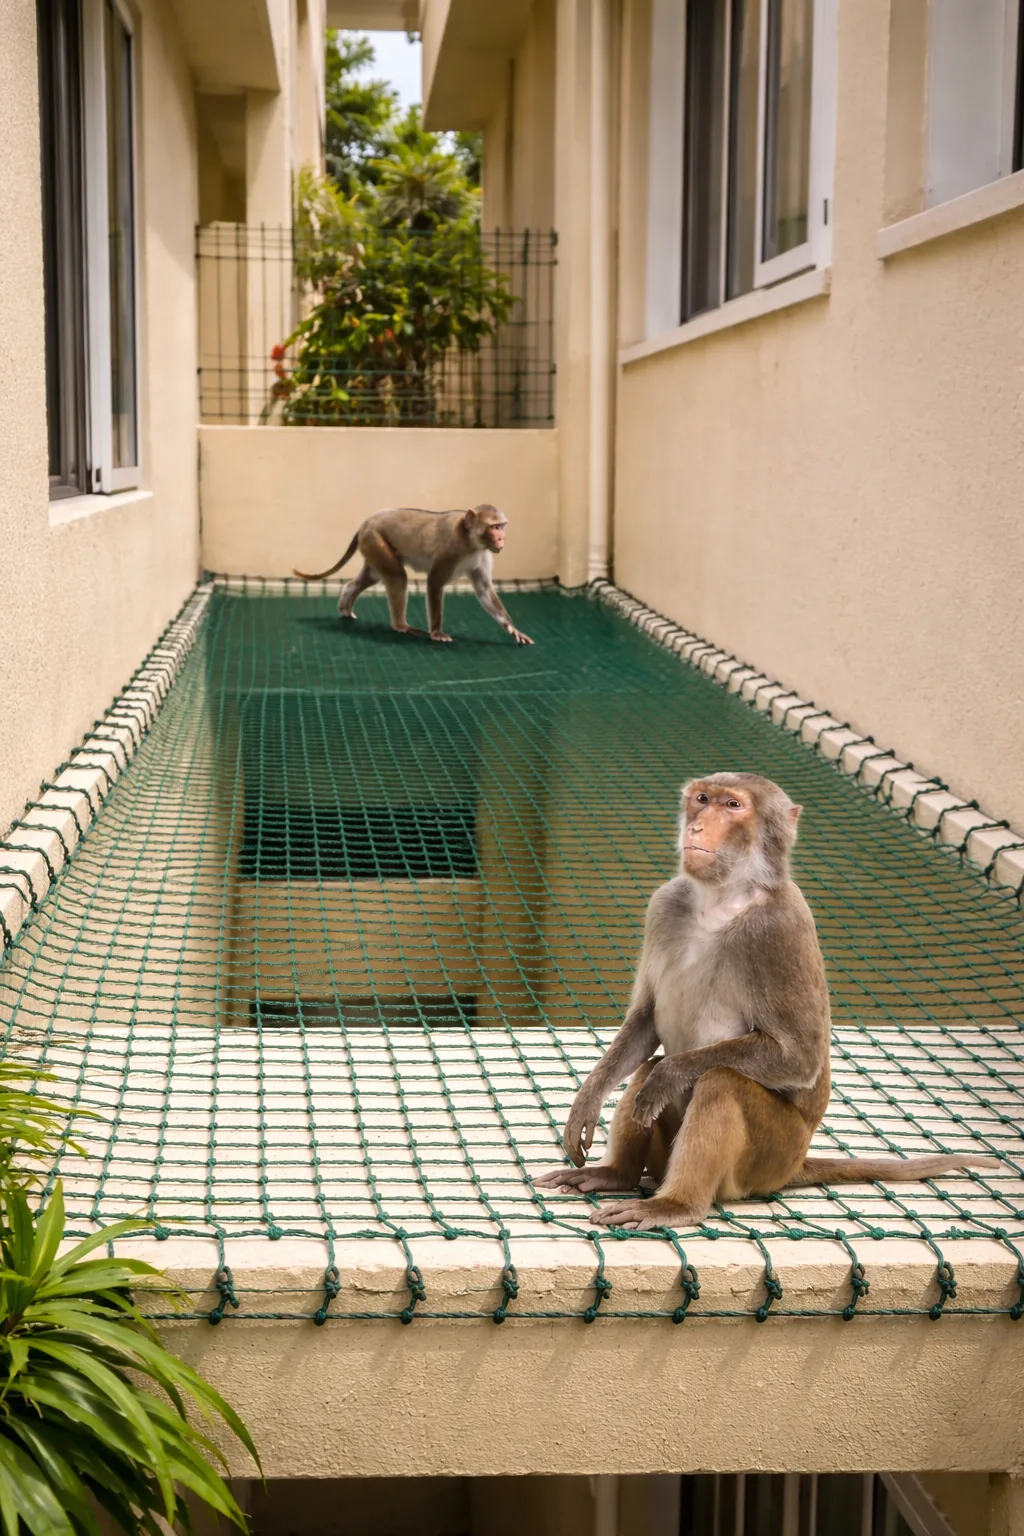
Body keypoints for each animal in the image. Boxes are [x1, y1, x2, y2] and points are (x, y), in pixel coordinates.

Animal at [293, 503, 532, 645]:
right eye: (494, 527)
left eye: (502, 526)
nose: (501, 539)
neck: (471, 539)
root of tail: (367, 522)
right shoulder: (451, 550)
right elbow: (434, 582)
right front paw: (436, 632)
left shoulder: (483, 555)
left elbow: (484, 590)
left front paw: (512, 628)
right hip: (375, 539)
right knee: (397, 578)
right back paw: (401, 626)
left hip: (371, 543)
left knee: (371, 576)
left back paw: (345, 607)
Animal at [535, 772, 998, 1231]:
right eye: (702, 799)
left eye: (733, 806)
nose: (696, 827)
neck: (721, 900)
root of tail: (795, 1164)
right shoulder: (665, 905)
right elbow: (646, 1023)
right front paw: (589, 1098)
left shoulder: (776, 930)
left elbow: (798, 1059)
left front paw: (673, 1072)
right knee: (650, 1068)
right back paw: (618, 1175)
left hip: (769, 1156)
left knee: (720, 1081)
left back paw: (677, 1203)